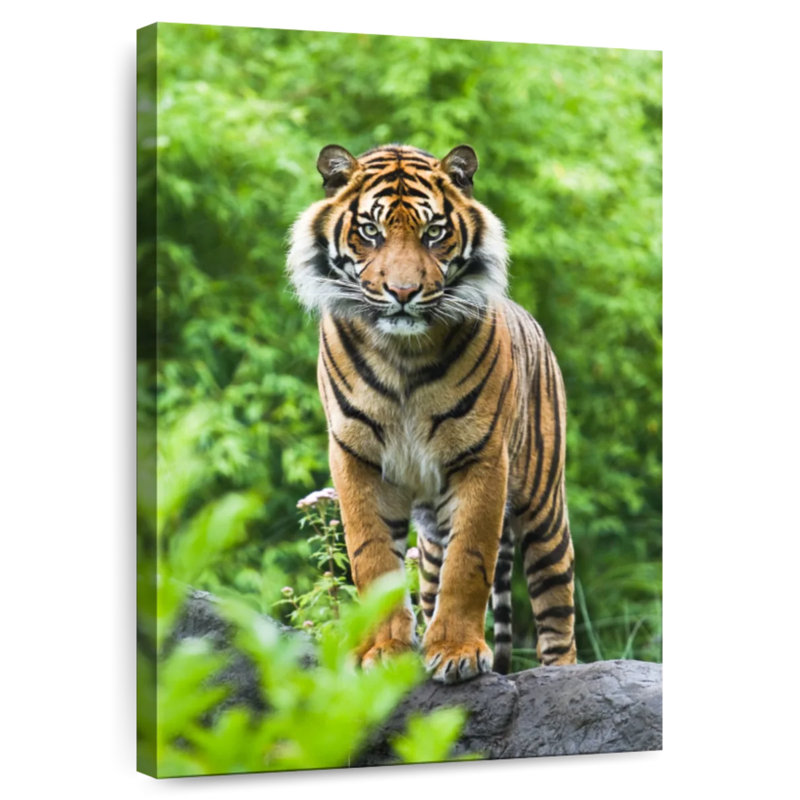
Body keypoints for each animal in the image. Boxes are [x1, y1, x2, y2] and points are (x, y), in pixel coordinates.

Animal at [287, 143, 576, 683]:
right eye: (371, 232)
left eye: (434, 233)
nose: (403, 293)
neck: (402, 355)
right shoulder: (355, 457)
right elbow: (372, 559)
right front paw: (384, 651)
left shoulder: (482, 458)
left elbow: (471, 561)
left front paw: (458, 652)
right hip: (431, 537)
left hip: (545, 511)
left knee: (557, 613)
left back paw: (564, 674)